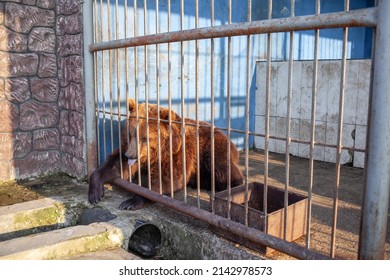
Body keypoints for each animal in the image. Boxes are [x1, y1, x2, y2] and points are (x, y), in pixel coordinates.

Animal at [87, 98, 244, 210]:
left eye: (145, 138)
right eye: (132, 134)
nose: (130, 155)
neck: (154, 154)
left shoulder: (176, 154)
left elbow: (166, 178)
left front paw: (130, 202)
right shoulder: (129, 148)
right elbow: (116, 164)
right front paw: (95, 192)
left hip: (211, 147)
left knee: (221, 167)